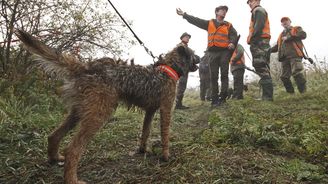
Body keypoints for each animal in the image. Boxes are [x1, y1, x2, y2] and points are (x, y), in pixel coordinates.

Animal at [15, 29, 188, 183]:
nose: (195, 65)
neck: (168, 68)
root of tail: (86, 67)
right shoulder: (166, 108)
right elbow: (165, 135)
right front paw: (166, 156)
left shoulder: (150, 111)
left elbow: (145, 132)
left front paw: (142, 150)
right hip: (99, 114)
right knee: (72, 150)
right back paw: (72, 180)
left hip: (80, 111)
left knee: (54, 136)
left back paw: (54, 158)